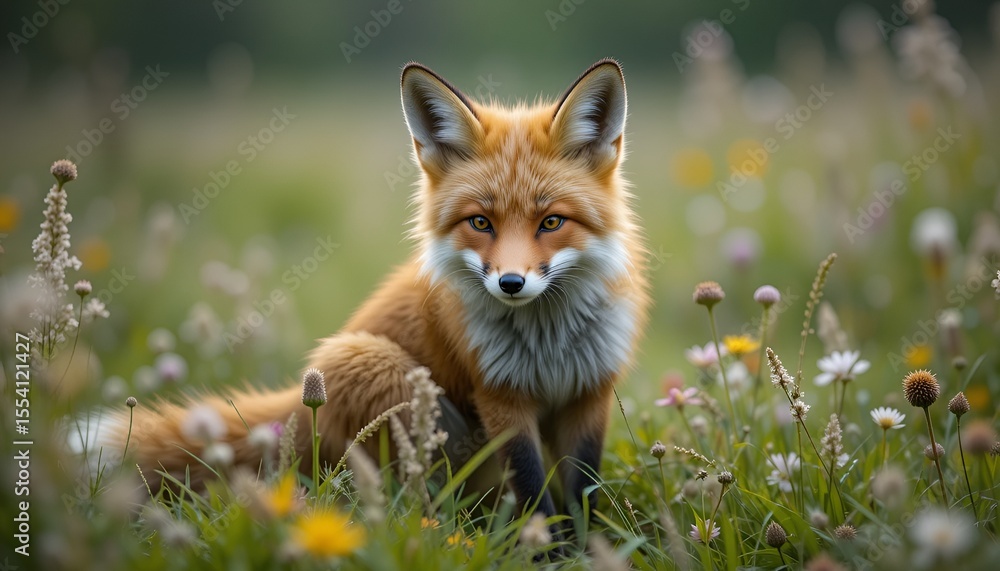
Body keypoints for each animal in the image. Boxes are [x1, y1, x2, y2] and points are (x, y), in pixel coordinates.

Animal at [89, 58, 649, 521]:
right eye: (481, 222)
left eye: (551, 222)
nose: (511, 283)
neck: (547, 345)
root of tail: (302, 402)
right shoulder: (500, 397)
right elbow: (536, 494)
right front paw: (552, 550)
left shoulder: (589, 394)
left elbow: (582, 493)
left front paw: (587, 546)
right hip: (379, 367)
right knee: (413, 502)